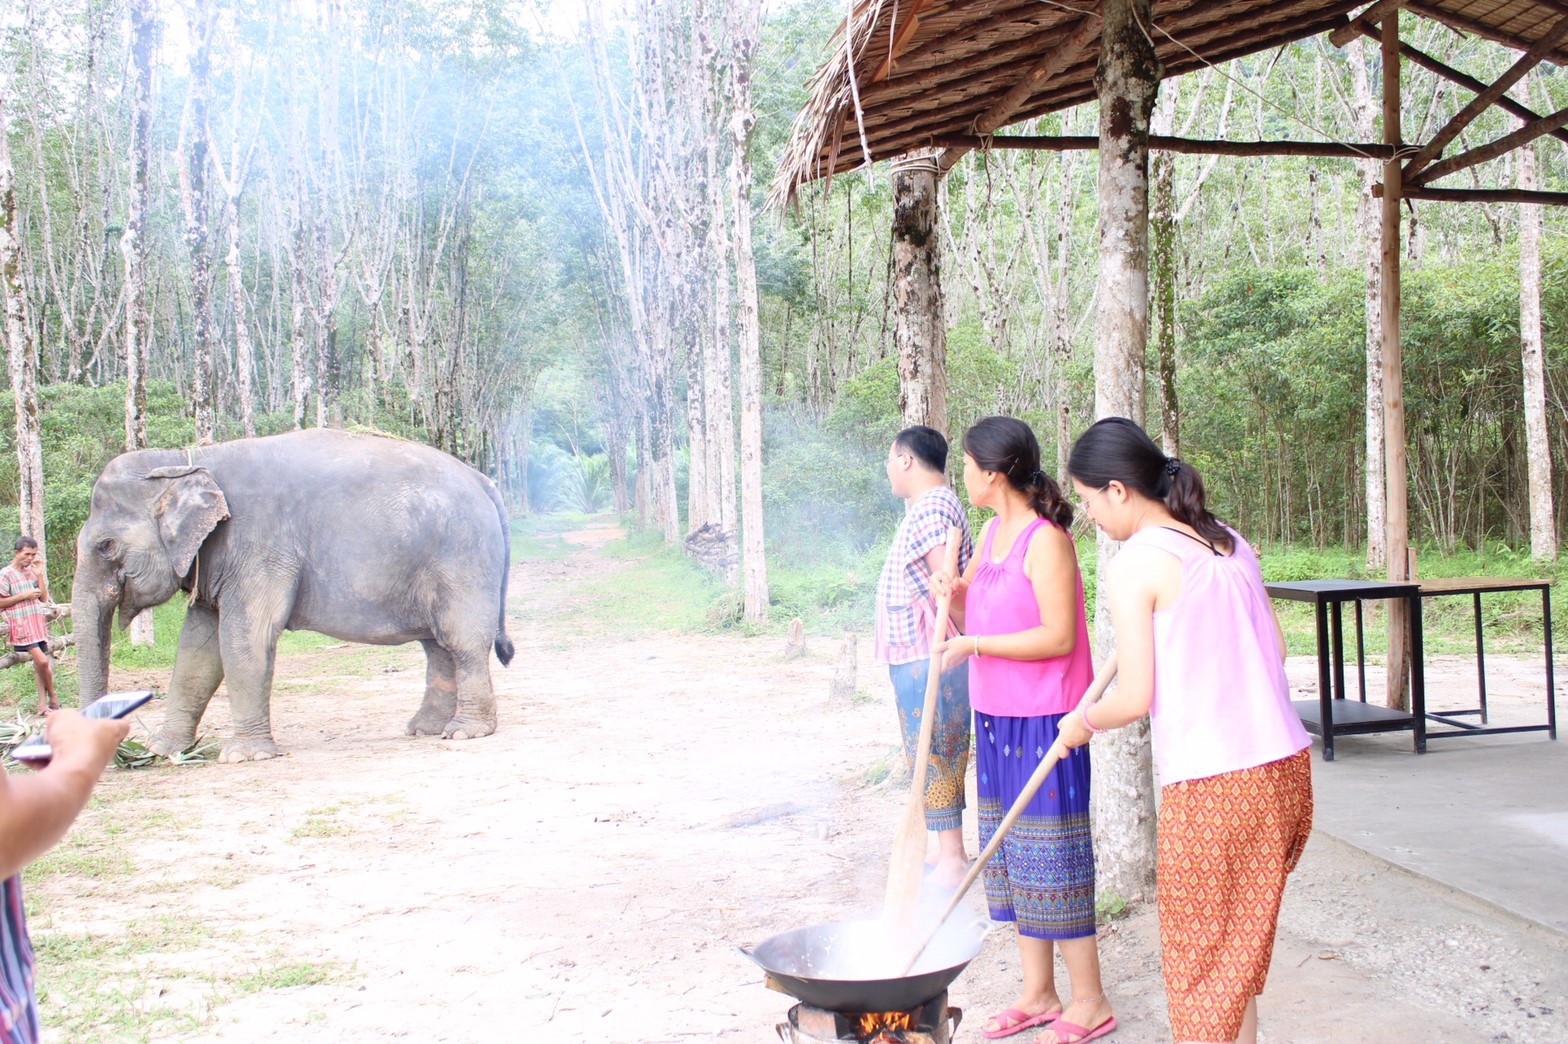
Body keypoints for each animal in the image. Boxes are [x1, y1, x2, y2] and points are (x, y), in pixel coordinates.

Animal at [73, 426, 514, 761]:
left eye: (106, 546)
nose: (124, 753)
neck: (186, 458)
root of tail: (483, 482)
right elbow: (197, 649)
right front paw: (163, 751)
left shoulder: (260, 546)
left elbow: (245, 637)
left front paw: (244, 756)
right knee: (437, 645)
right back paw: (425, 729)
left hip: (462, 557)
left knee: (461, 642)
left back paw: (466, 732)